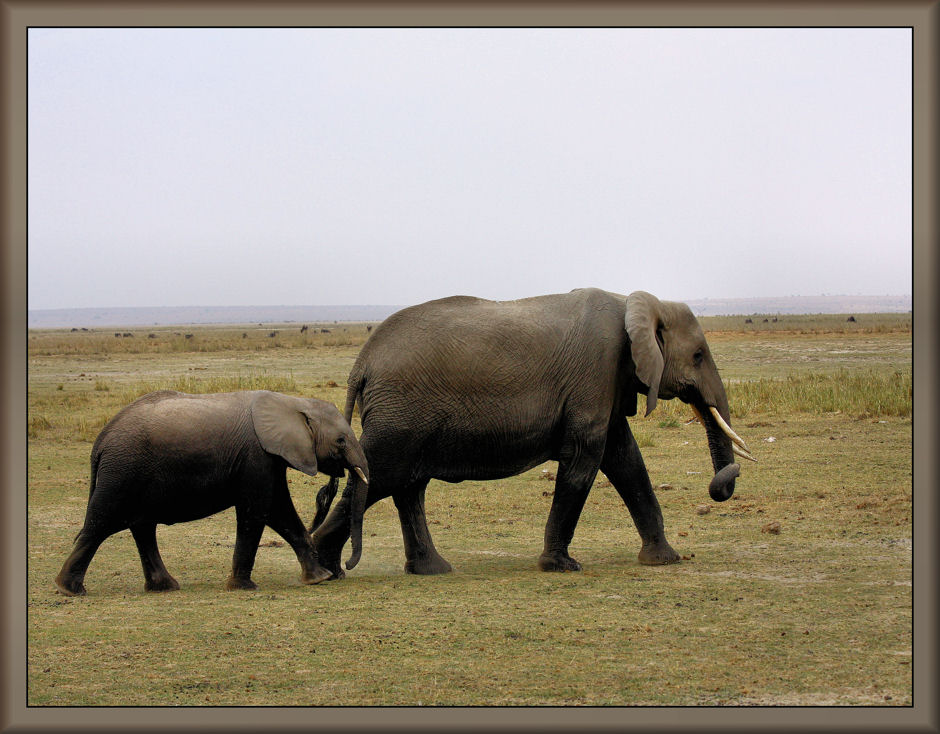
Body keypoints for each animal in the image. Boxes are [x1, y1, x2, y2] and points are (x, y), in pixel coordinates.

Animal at [53, 392, 370, 600]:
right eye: (341, 440)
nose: (344, 568)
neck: (293, 403)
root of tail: (101, 441)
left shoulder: (271, 459)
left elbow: (280, 512)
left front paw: (318, 579)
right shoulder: (256, 456)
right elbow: (257, 512)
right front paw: (243, 588)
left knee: (142, 528)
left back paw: (165, 587)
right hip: (122, 472)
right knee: (100, 525)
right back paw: (69, 590)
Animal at [312, 290, 752, 576]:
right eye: (698, 356)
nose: (722, 484)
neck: (636, 303)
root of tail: (361, 364)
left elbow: (627, 461)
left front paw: (664, 560)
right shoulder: (596, 372)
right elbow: (585, 459)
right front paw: (562, 567)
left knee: (407, 486)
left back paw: (430, 570)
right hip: (400, 417)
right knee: (381, 478)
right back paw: (324, 567)